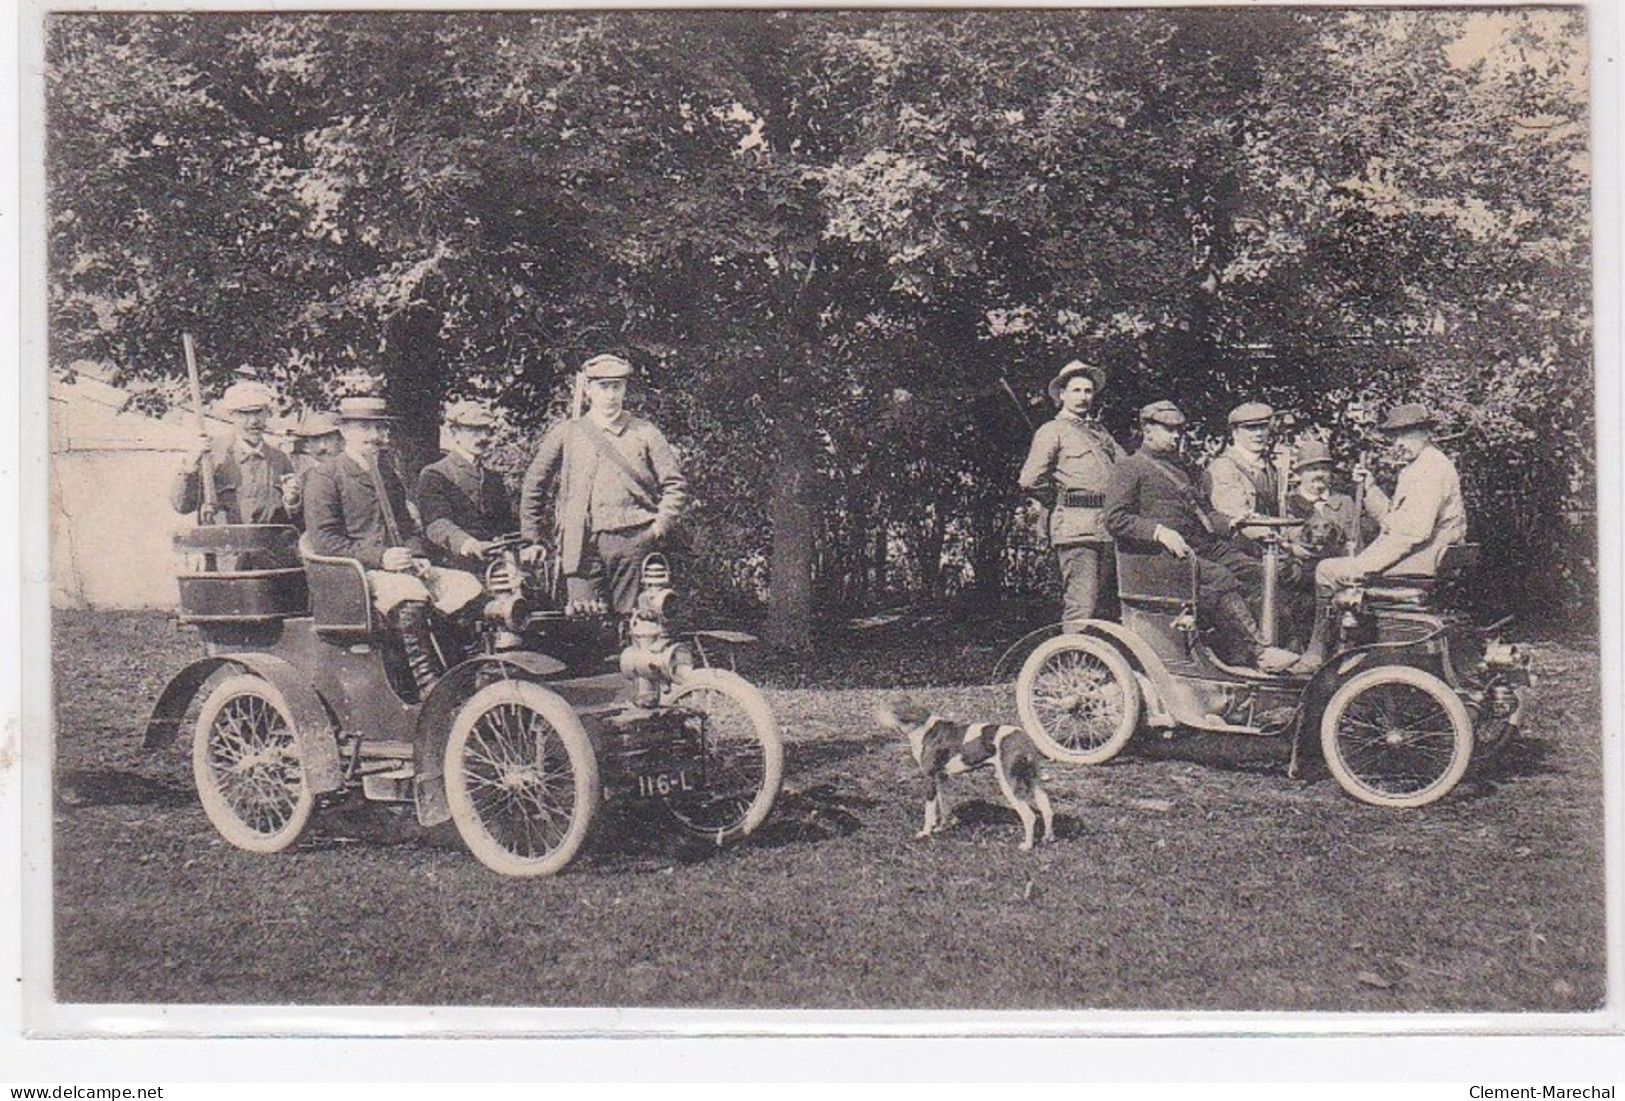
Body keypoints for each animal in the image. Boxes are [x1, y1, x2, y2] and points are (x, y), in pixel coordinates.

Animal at [877, 698, 1053, 850]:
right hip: (1035, 781)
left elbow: (929, 812)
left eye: (890, 709)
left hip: (1009, 783)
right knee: (1046, 808)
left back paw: (1027, 845)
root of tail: (1024, 739)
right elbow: (944, 805)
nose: (876, 713)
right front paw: (941, 828)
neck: (922, 727)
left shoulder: (930, 779)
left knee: (1029, 816)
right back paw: (1047, 838)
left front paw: (926, 832)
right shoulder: (942, 778)